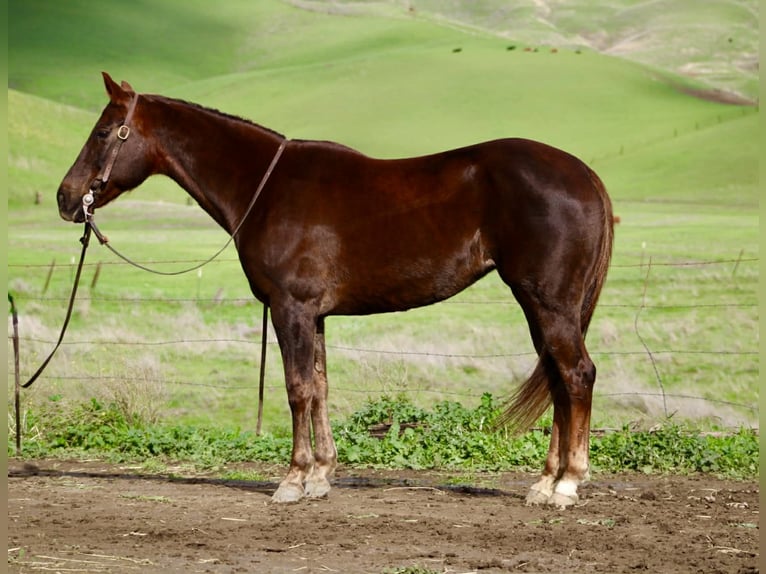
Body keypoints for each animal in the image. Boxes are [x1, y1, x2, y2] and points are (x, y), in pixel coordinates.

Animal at [57, 72, 614, 507]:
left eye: (103, 131)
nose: (66, 198)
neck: (266, 188)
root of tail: (585, 175)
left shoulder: (291, 309)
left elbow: (297, 389)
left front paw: (293, 479)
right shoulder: (315, 315)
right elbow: (320, 385)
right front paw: (322, 475)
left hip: (547, 303)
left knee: (576, 375)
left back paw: (567, 484)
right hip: (541, 307)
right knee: (559, 379)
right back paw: (545, 483)